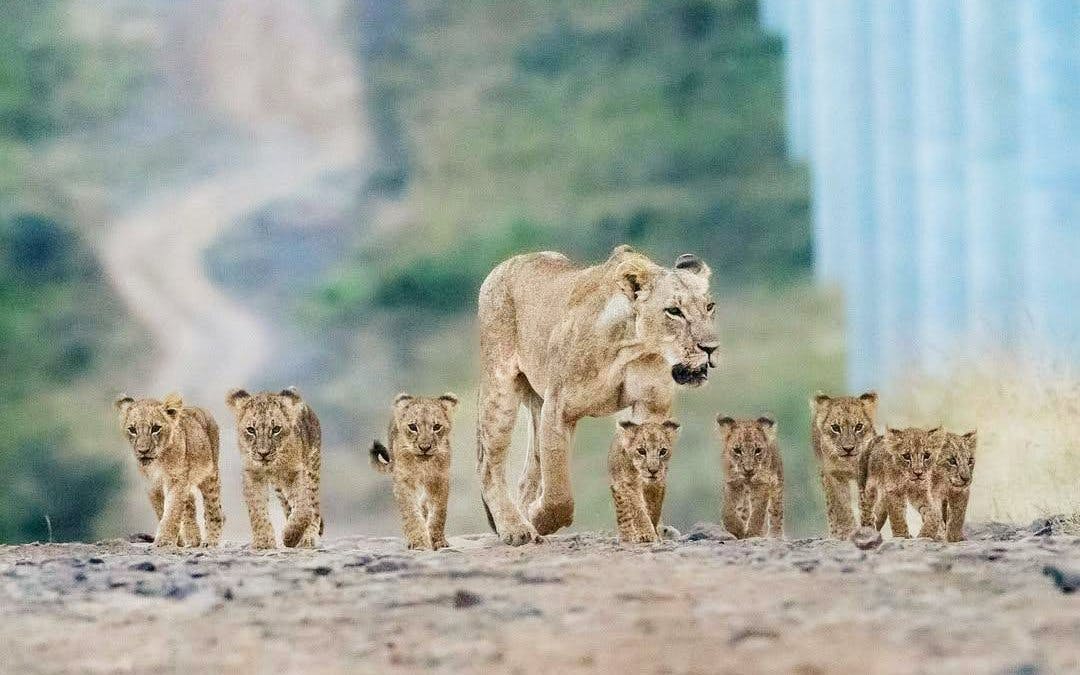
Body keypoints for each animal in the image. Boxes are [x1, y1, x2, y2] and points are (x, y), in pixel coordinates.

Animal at [115, 393, 224, 547]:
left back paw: (211, 540)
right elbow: (162, 510)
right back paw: (193, 538)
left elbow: (172, 510)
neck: (157, 462)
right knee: (190, 502)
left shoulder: (176, 480)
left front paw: (165, 540)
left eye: (155, 428)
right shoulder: (152, 486)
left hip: (210, 475)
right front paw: (177, 540)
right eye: (132, 430)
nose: (143, 451)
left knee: (214, 508)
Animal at [226, 387, 322, 549]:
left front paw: (291, 537)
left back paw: (307, 538)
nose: (263, 453)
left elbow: (304, 509)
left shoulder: (294, 473)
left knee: (314, 508)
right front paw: (264, 541)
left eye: (276, 429)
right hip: (280, 488)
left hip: (312, 470)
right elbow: (257, 509)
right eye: (251, 430)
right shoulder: (252, 474)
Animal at [370, 392, 459, 550]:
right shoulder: (403, 482)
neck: (423, 466)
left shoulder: (440, 481)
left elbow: (438, 513)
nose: (424, 447)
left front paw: (438, 541)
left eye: (436, 427)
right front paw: (419, 542)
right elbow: (411, 513)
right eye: (412, 427)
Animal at [476, 245, 718, 545]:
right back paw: (515, 527)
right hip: (500, 389)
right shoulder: (558, 408)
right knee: (489, 466)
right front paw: (539, 519)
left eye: (709, 307)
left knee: (528, 474)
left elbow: (637, 469)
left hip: (536, 403)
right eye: (674, 311)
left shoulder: (650, 407)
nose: (711, 347)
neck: (634, 346)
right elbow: (559, 492)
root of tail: (506, 264)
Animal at [811, 392, 878, 538]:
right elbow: (841, 506)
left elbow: (865, 503)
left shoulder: (864, 473)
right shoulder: (833, 476)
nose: (848, 449)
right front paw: (846, 531)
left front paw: (868, 526)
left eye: (858, 426)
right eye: (835, 428)